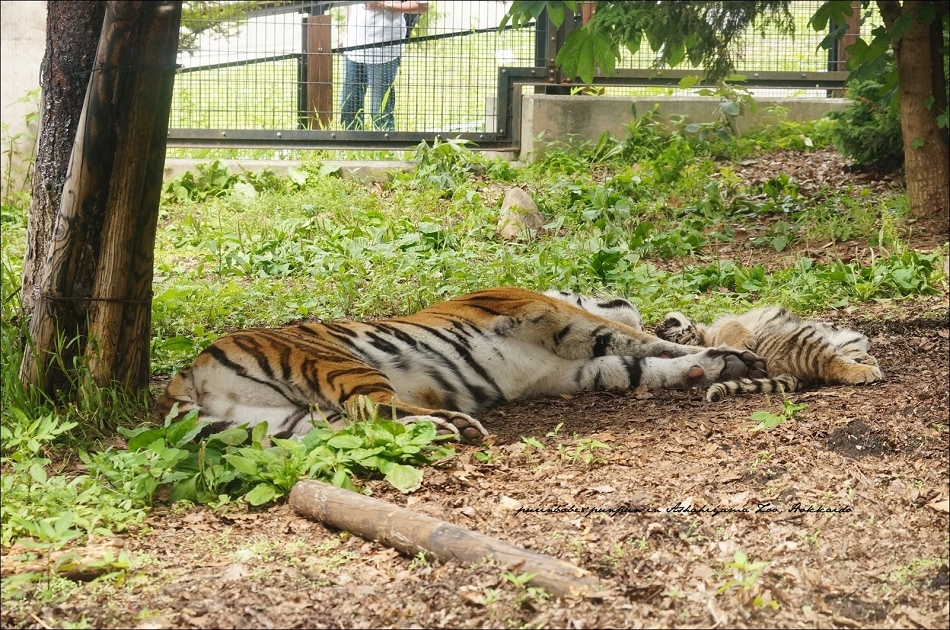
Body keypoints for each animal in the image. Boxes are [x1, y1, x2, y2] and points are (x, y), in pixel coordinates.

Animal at [156, 288, 768, 444]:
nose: (623, 295)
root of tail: (187, 372)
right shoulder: (551, 313)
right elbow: (639, 341)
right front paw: (735, 357)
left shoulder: (568, 375)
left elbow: (640, 366)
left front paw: (714, 367)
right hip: (341, 362)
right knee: (375, 407)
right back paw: (456, 425)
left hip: (288, 423)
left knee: (363, 425)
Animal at [656, 308, 884, 404]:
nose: (660, 328)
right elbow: (732, 326)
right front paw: (746, 343)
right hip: (805, 338)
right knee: (831, 363)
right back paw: (865, 371)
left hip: (848, 335)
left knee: (847, 350)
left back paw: (866, 360)